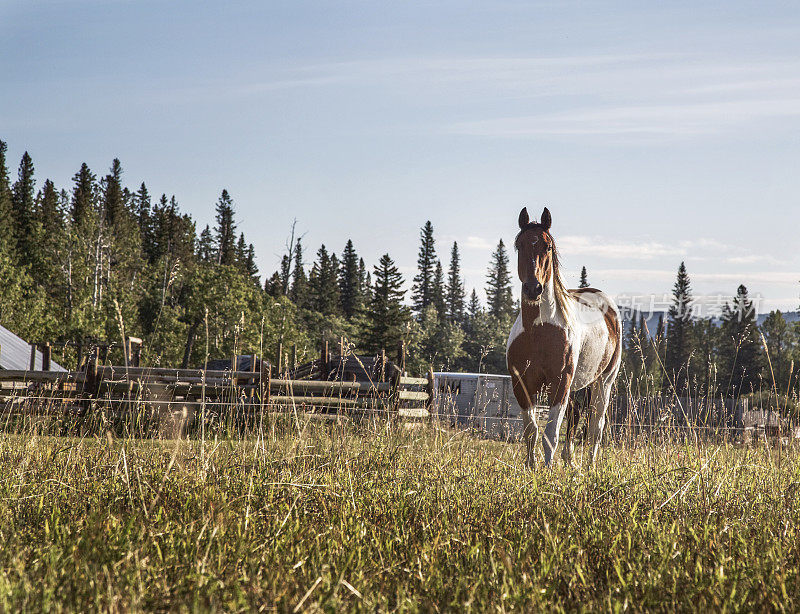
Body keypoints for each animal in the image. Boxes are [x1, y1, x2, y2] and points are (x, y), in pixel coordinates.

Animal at [506, 207, 624, 466]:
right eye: (519, 245)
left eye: (548, 246)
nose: (533, 288)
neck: (538, 331)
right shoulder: (522, 384)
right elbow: (531, 431)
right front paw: (531, 467)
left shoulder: (560, 382)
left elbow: (550, 434)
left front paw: (547, 470)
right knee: (575, 414)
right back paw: (570, 461)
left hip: (604, 382)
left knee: (596, 427)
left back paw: (590, 466)